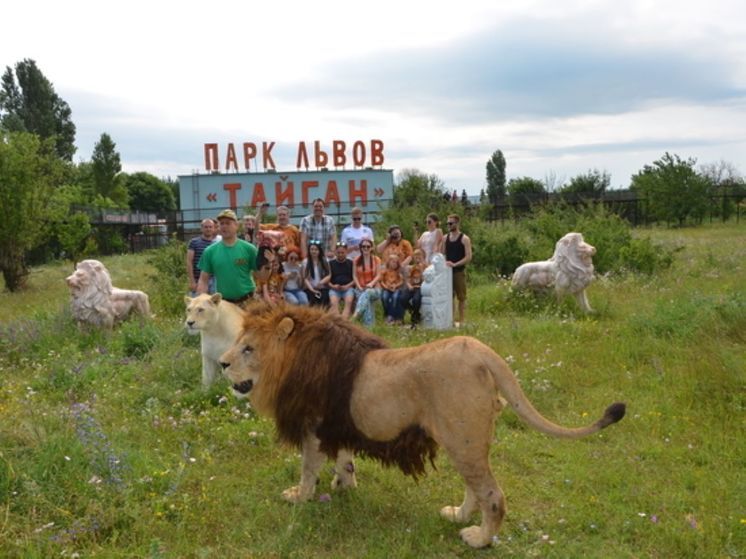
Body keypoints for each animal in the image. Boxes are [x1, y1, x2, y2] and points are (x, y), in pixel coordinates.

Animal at [218, 304, 624, 548]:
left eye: (248, 349)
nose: (221, 364)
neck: (291, 360)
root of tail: (483, 352)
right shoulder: (339, 422)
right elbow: (345, 459)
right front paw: (344, 485)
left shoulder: (314, 426)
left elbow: (307, 468)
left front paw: (299, 496)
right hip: (466, 440)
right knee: (475, 488)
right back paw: (458, 515)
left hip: (463, 438)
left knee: (493, 496)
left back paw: (477, 537)